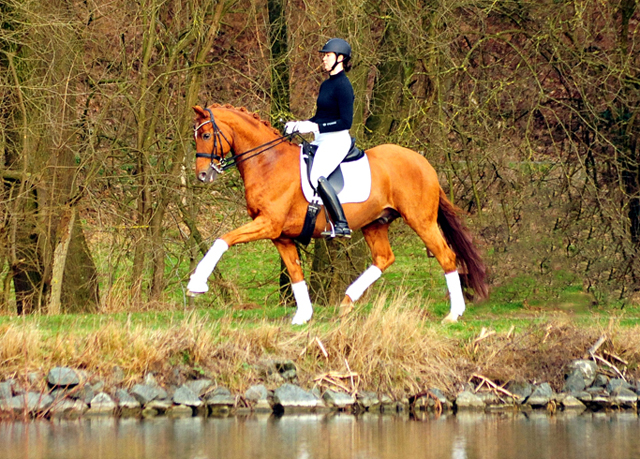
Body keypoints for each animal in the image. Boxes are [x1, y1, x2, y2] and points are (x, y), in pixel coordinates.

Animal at [188, 105, 488, 326]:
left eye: (206, 136)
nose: (202, 175)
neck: (269, 163)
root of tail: (424, 163)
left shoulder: (267, 224)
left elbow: (223, 239)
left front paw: (196, 283)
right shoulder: (280, 236)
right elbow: (295, 273)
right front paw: (303, 316)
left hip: (420, 220)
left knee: (446, 256)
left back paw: (454, 314)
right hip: (375, 223)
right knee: (384, 258)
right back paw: (347, 302)